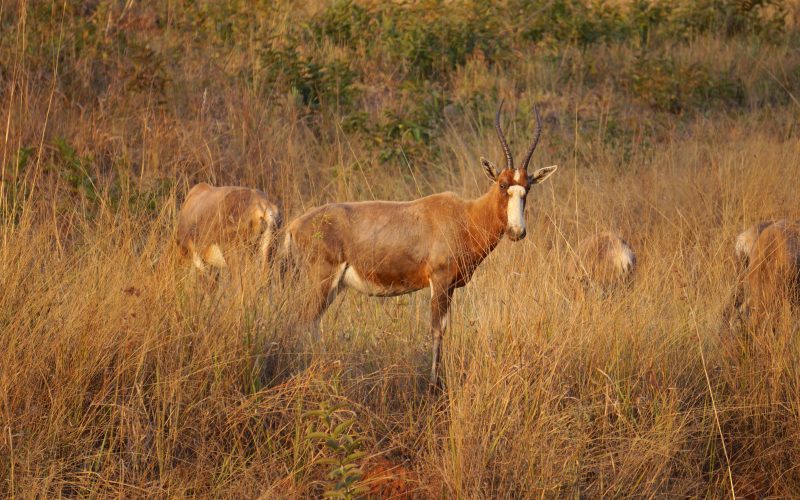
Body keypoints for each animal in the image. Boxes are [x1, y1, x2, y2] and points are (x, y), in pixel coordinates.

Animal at [284, 100, 560, 386]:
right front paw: (434, 385)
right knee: (303, 321)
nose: (517, 232)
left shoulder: (450, 287)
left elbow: (445, 329)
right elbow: (437, 330)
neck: (464, 214)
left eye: (527, 188)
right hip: (321, 281)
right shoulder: (439, 282)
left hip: (332, 287)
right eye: (503, 184)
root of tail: (294, 226)